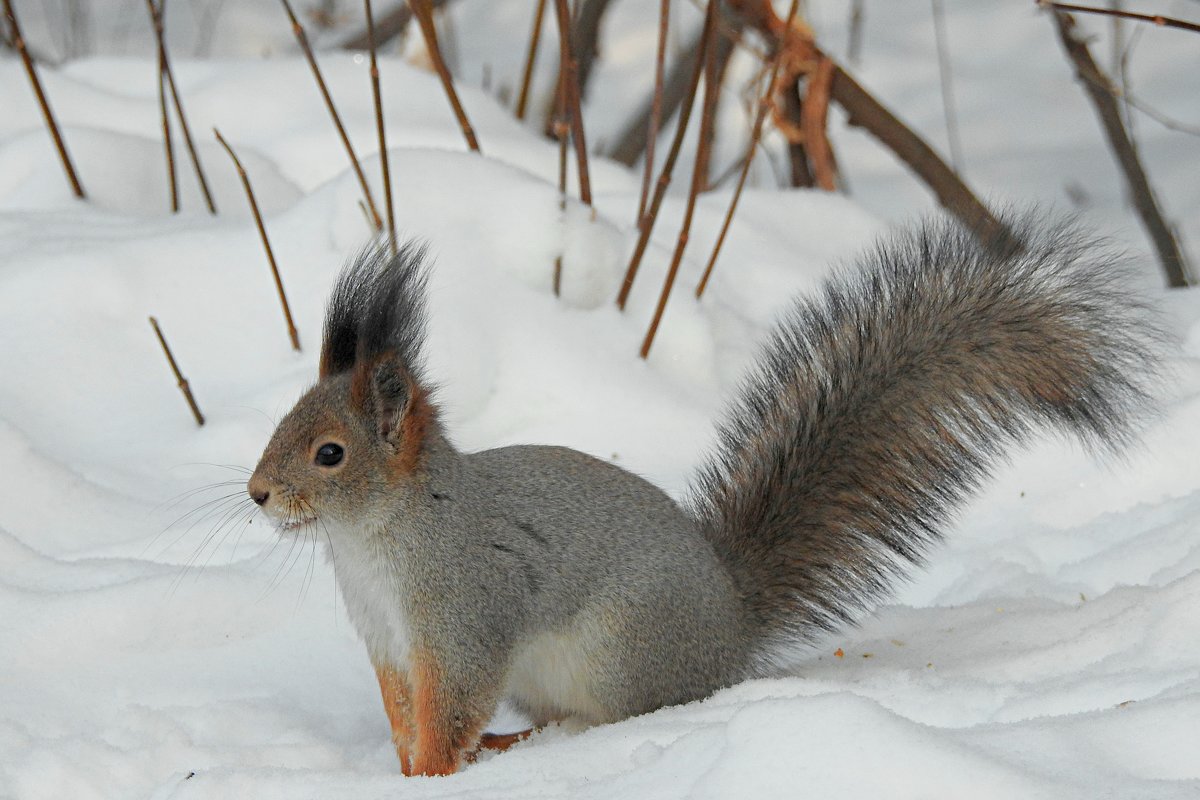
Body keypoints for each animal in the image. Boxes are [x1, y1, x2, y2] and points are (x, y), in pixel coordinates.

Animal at [246, 212, 1161, 777]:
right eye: (282, 419)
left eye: (329, 454)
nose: (256, 495)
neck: (373, 540)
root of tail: (733, 624)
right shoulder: (390, 644)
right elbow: (405, 713)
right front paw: (406, 770)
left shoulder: (465, 614)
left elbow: (449, 706)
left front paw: (436, 773)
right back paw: (513, 744)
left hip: (623, 653)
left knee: (631, 712)